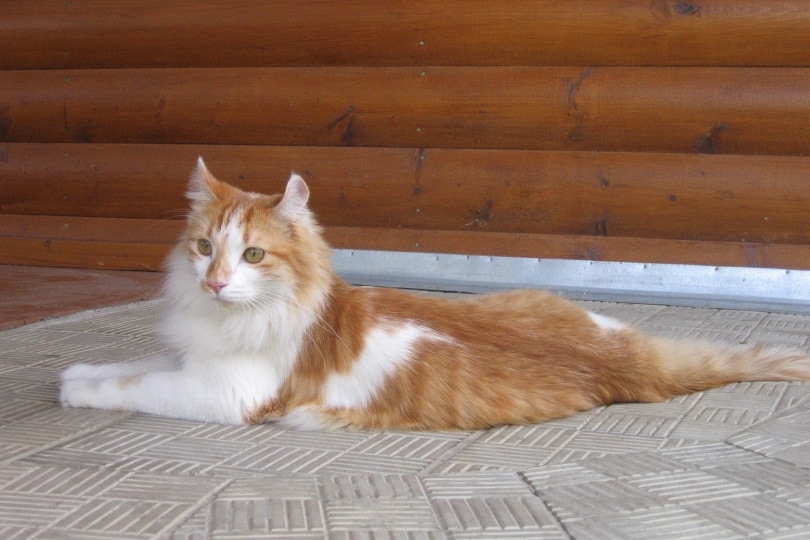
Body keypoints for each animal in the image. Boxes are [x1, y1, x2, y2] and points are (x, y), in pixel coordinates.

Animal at [60, 157, 808, 430]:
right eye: (202, 249)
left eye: (252, 256)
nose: (214, 282)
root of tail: (634, 360)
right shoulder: (194, 360)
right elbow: (133, 366)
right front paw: (75, 375)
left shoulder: (226, 392)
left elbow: (137, 387)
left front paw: (80, 390)